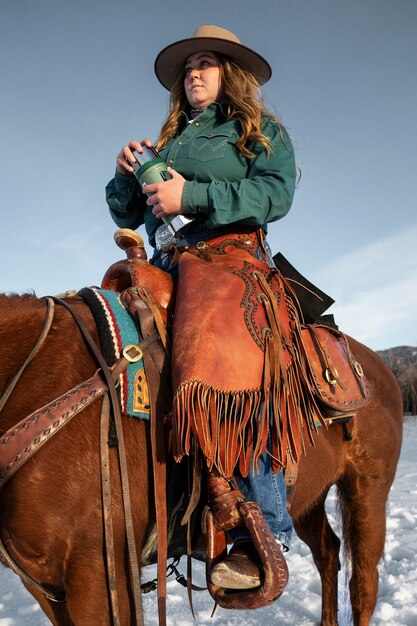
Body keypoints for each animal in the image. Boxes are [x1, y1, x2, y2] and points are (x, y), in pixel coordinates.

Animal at [0, 292, 404, 624]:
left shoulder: (97, 571)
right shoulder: (44, 584)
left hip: (367, 491)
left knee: (363, 585)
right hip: (309, 499)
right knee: (328, 553)